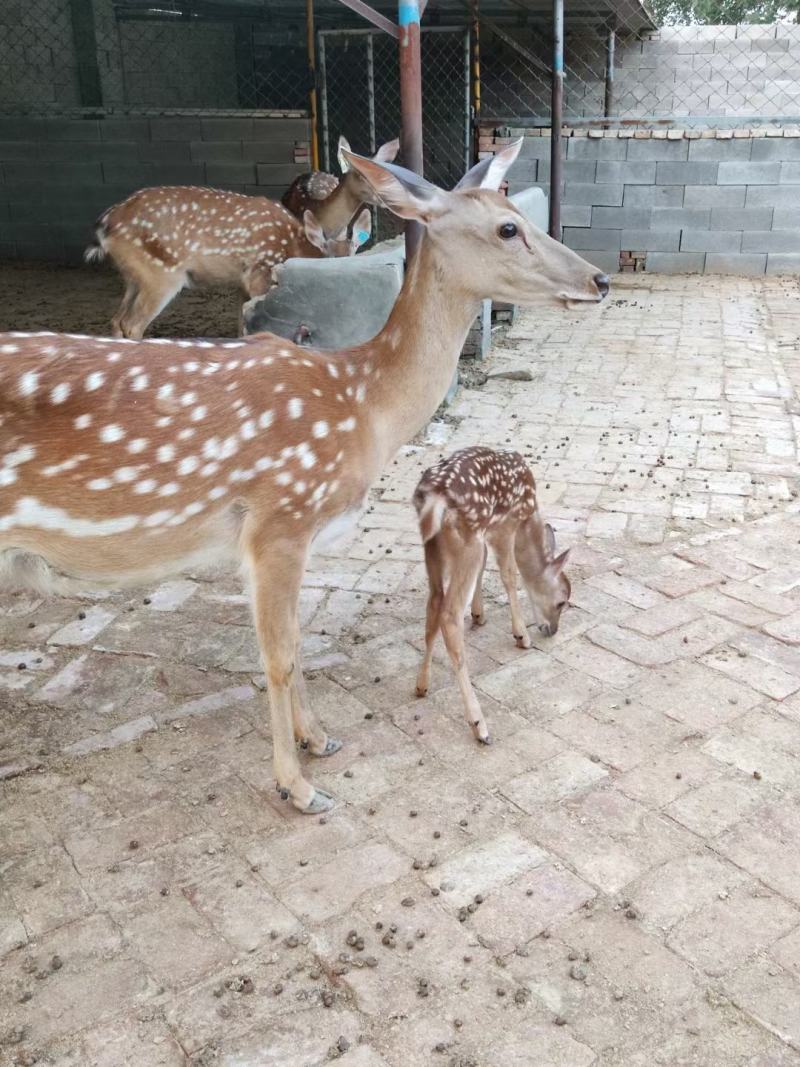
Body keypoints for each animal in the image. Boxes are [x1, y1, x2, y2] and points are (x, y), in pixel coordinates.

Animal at [85, 187, 373, 340]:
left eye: (355, 252)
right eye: (328, 257)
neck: (293, 245)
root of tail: (104, 226)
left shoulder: (241, 284)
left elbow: (241, 325)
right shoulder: (260, 270)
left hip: (133, 276)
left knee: (116, 319)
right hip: (162, 275)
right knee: (132, 324)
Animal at [413, 447, 571, 744]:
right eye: (562, 601)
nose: (553, 630)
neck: (529, 515)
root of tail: (434, 496)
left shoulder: (489, 531)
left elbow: (485, 568)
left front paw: (479, 614)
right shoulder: (506, 524)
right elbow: (509, 575)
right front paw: (521, 636)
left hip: (433, 547)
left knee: (434, 604)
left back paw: (421, 685)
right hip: (468, 539)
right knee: (449, 615)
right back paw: (479, 725)